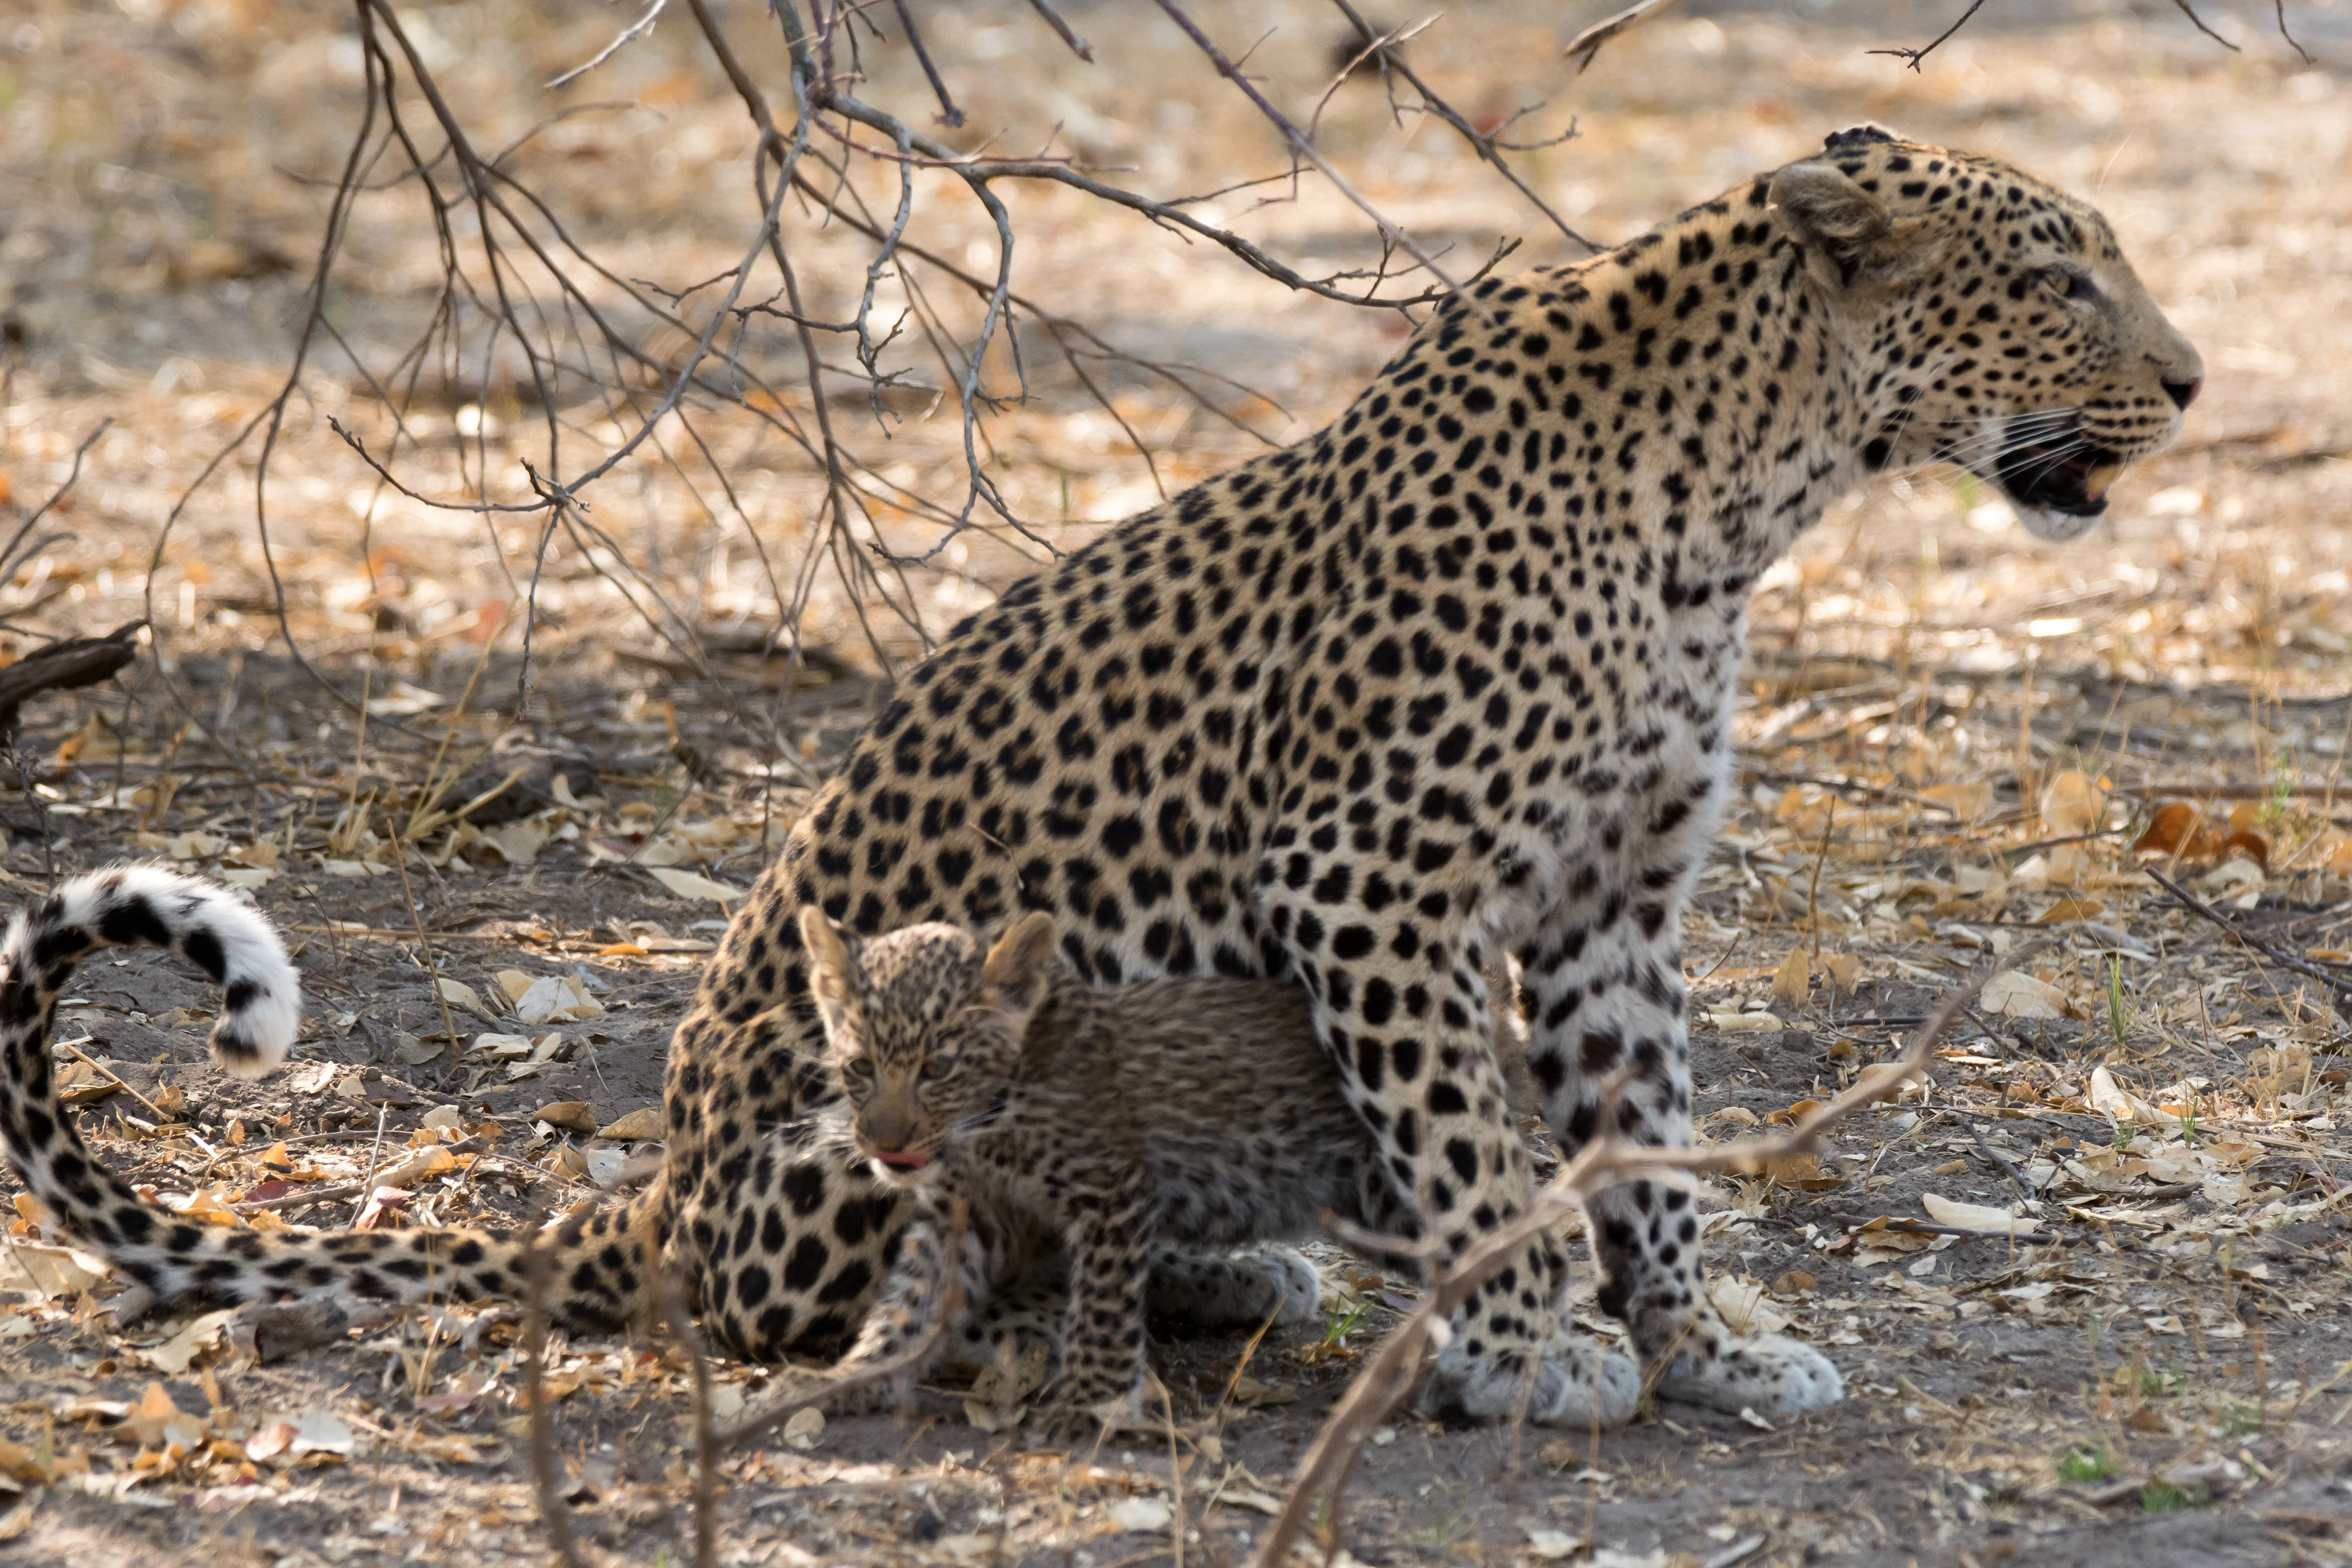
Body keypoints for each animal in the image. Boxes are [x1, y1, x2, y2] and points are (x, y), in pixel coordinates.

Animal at [768, 907, 1424, 1435]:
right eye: (859, 1067)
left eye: (938, 1068)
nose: (885, 1143)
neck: (987, 1129)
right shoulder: (966, 1213)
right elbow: (910, 1303)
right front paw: (851, 1376)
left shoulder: (1111, 1190)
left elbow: (1103, 1306)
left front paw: (1090, 1401)